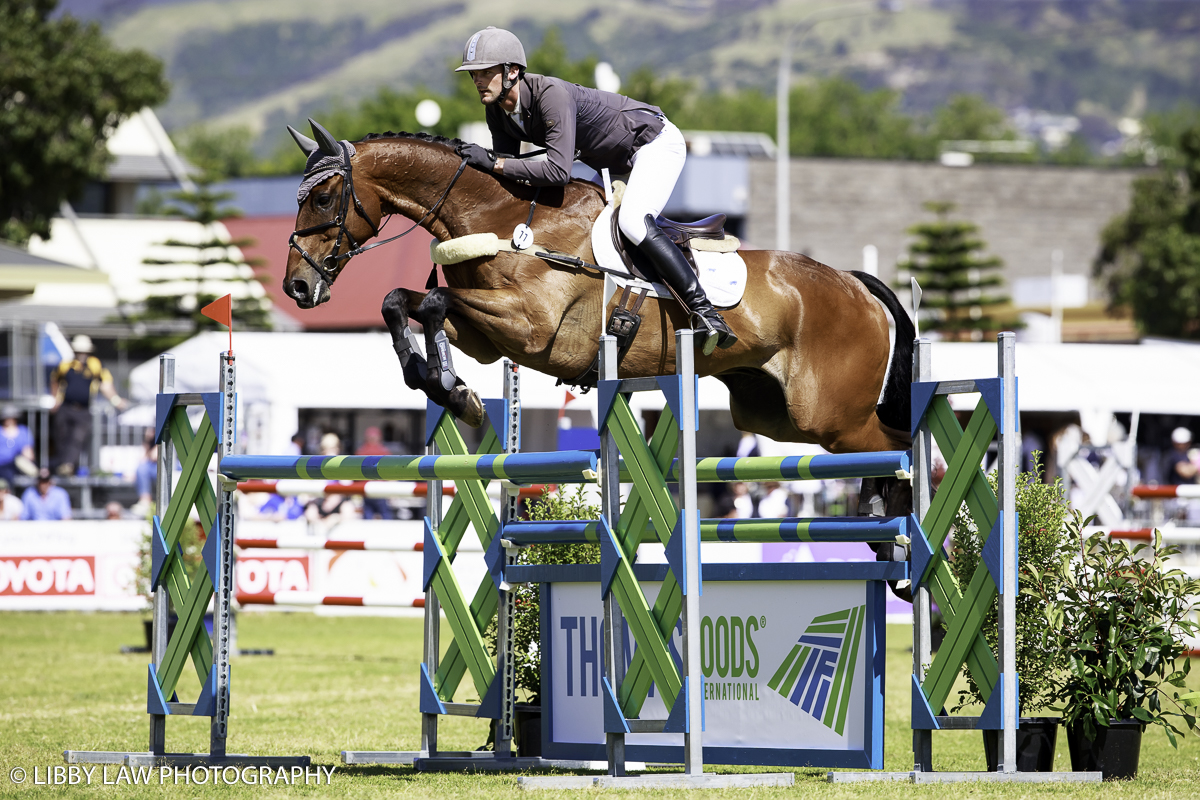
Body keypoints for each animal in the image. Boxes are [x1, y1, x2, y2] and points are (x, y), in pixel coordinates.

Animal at [285, 118, 912, 455]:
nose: (296, 286)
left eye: (323, 198)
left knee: (903, 449)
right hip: (771, 418)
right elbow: (402, 302)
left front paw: (449, 386)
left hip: (833, 417)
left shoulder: (530, 326)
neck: (499, 215)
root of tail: (855, 286)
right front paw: (446, 386)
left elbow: (434, 300)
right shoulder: (487, 337)